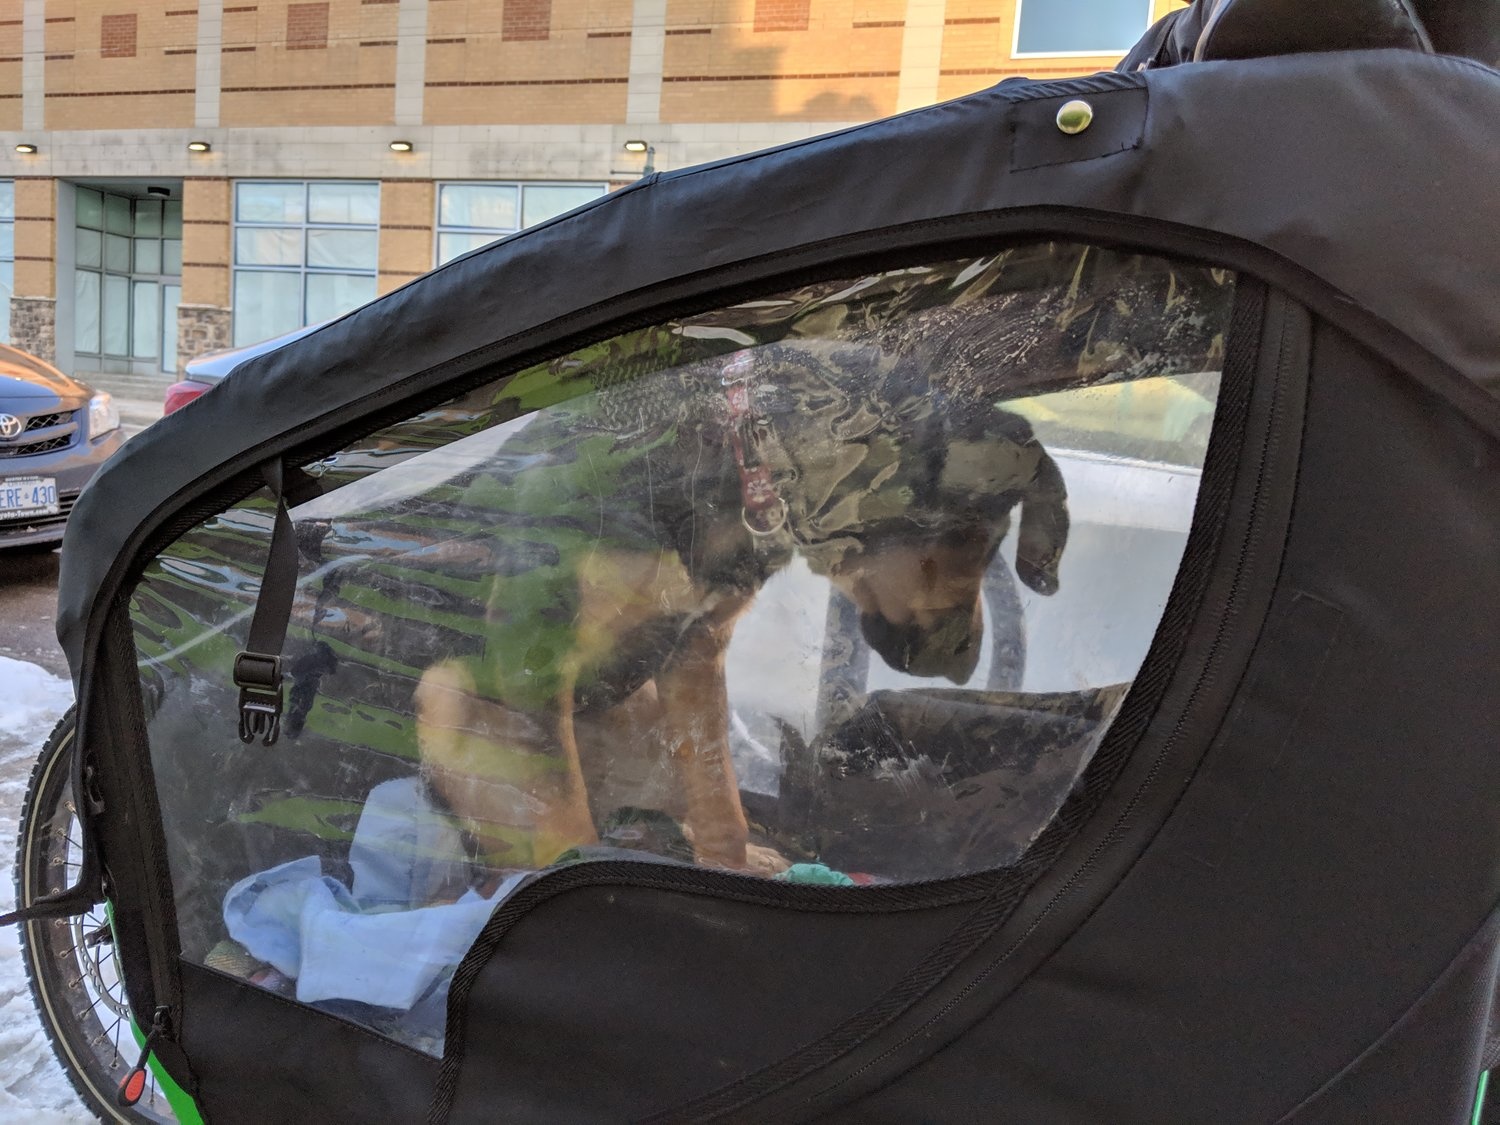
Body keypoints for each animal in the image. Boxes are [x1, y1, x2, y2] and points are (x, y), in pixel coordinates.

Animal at [414, 339, 1068, 876]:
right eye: (977, 538)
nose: (966, 664)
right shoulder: (534, 661)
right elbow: (562, 818)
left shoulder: (695, 652)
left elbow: (718, 793)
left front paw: (730, 863)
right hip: (443, 691)